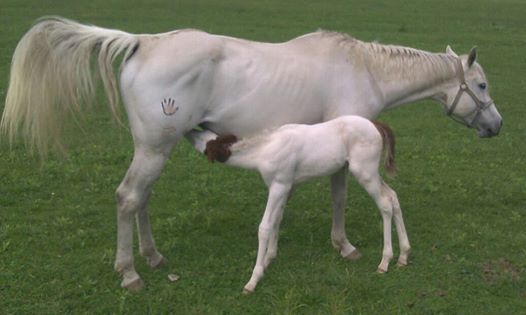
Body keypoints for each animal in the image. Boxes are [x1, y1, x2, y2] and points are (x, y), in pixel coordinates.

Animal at [187, 115, 412, 294]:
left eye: (206, 142)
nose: (189, 132)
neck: (265, 150)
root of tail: (376, 124)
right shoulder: (285, 187)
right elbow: (277, 220)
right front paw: (269, 259)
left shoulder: (279, 185)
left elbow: (265, 226)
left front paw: (253, 279)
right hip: (371, 173)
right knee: (393, 197)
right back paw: (404, 255)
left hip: (364, 172)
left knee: (385, 204)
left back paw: (385, 261)